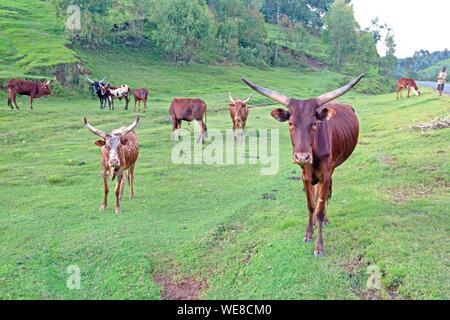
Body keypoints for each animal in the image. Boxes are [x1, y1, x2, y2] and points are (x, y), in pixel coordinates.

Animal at [241, 74, 364, 256]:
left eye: (314, 123)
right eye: (290, 123)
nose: (302, 157)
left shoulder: (325, 173)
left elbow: (319, 209)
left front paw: (319, 246)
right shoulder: (304, 176)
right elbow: (311, 206)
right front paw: (308, 232)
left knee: (325, 194)